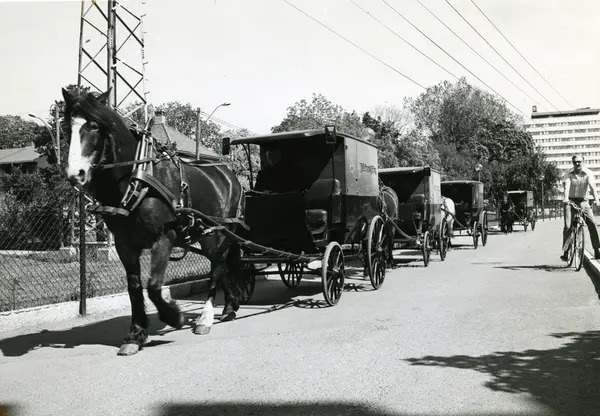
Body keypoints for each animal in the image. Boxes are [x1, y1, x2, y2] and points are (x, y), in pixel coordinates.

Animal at [62, 88, 245, 356]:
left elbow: (154, 285)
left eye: (94, 125)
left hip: (217, 232)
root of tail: (229, 174)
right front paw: (136, 334)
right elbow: (135, 288)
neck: (137, 179)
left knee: (217, 267)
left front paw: (173, 316)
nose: (76, 174)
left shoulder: (164, 238)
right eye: (66, 127)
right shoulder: (124, 245)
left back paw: (205, 317)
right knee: (221, 266)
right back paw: (230, 306)